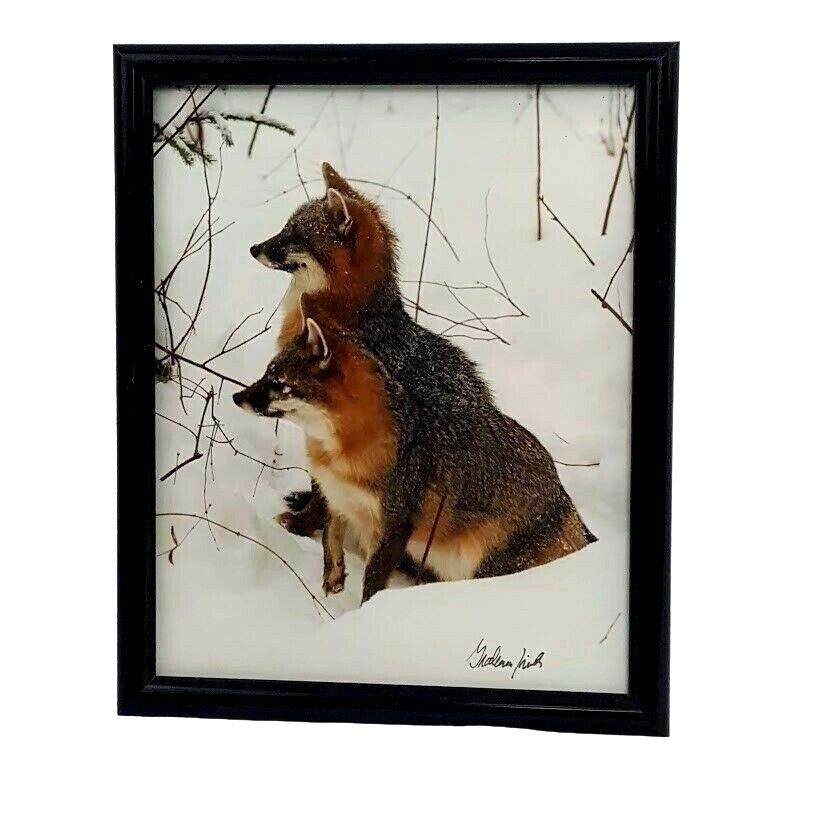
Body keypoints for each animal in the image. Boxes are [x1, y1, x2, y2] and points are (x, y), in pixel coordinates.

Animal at [241, 163, 596, 601]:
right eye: (283, 228)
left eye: (292, 236)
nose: (253, 247)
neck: (354, 319)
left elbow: (326, 501)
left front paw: (303, 525)